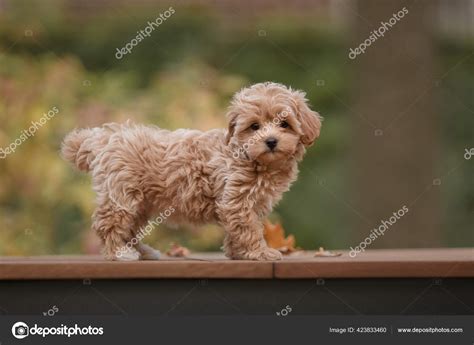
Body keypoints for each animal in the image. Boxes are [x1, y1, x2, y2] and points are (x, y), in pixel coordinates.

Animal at [61, 82, 322, 260]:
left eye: (284, 124)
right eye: (254, 126)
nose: (270, 141)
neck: (249, 157)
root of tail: (102, 139)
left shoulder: (249, 203)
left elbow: (239, 229)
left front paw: (237, 252)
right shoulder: (236, 200)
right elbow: (248, 228)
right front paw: (259, 253)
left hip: (141, 202)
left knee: (131, 228)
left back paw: (143, 252)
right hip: (122, 195)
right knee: (109, 224)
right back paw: (120, 253)